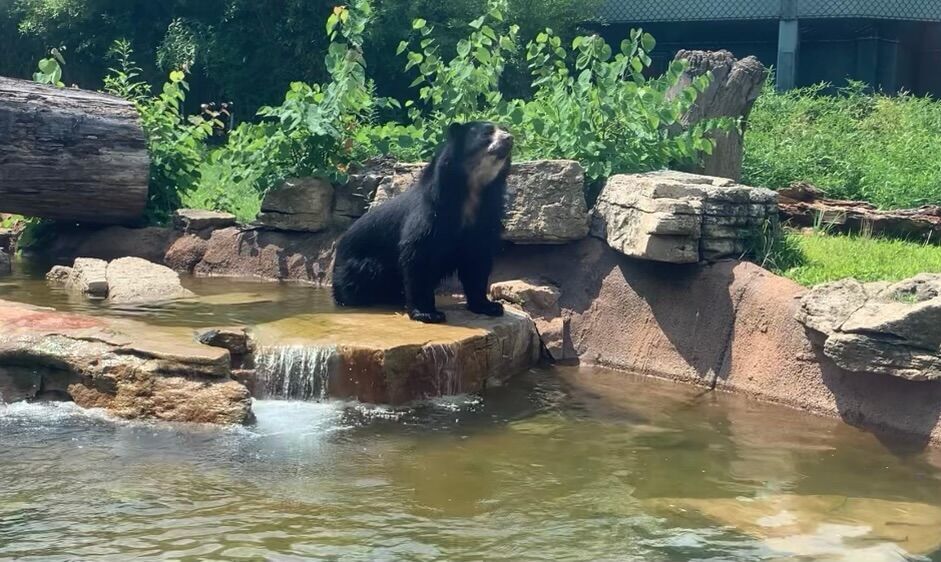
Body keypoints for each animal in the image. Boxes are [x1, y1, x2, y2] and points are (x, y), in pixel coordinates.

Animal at [332, 120, 516, 322]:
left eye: (505, 129)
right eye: (487, 133)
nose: (509, 138)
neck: (473, 190)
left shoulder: (484, 218)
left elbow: (478, 261)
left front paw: (490, 306)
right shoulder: (430, 214)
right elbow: (418, 256)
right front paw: (428, 313)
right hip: (360, 266)